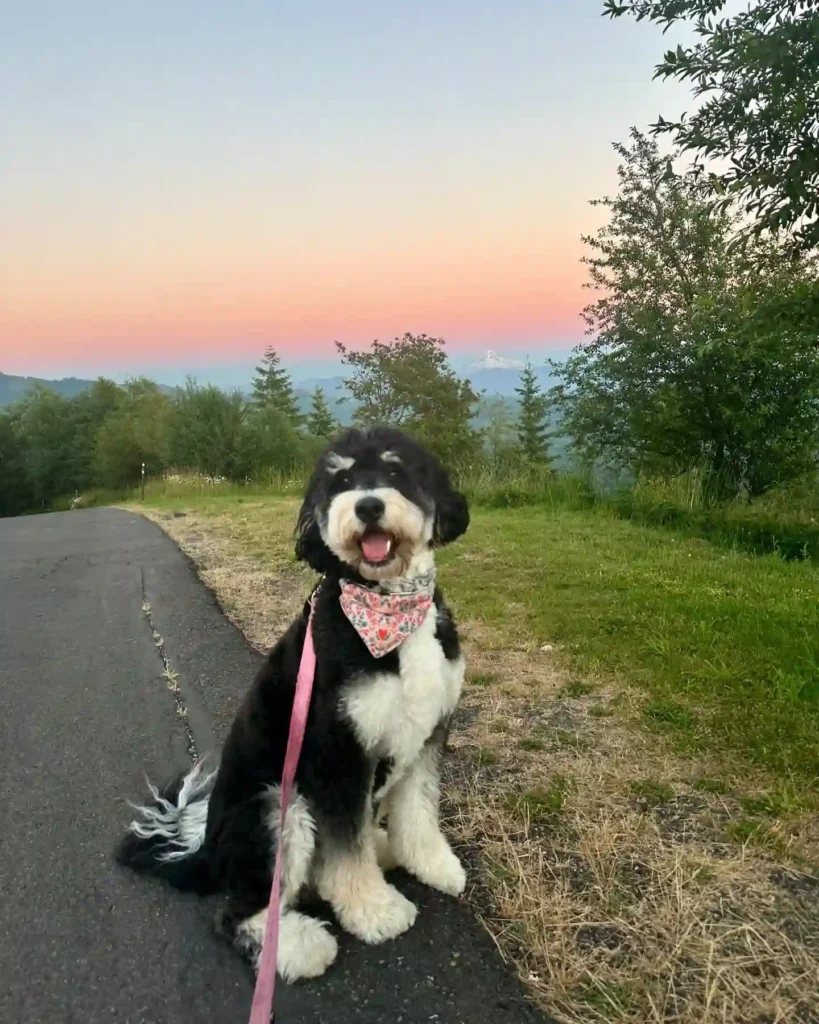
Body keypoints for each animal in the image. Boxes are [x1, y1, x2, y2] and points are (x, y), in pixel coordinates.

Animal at [117, 425, 470, 983]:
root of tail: (205, 852)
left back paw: (382, 847)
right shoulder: (338, 752)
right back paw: (301, 946)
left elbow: (418, 812)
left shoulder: (428, 735)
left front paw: (434, 864)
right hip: (276, 810)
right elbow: (346, 855)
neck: (389, 606)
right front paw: (376, 911)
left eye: (395, 471)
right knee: (239, 914)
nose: (368, 506)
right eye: (341, 481)